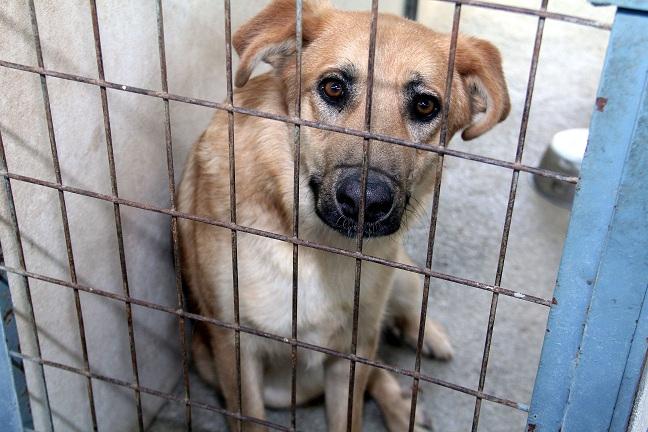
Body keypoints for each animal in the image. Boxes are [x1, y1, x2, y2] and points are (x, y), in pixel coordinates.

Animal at [178, 1, 512, 430]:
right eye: (333, 88)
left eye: (425, 105)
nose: (366, 201)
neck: (319, 249)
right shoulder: (235, 351)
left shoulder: (351, 356)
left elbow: (351, 411)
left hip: (397, 283)